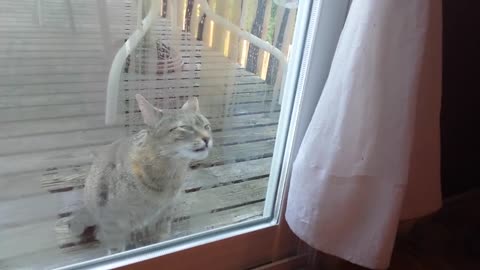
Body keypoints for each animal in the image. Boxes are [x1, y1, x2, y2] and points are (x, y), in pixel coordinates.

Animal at [67, 94, 212, 253]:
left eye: (206, 126)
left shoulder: (166, 212)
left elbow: (162, 236)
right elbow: (115, 247)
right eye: (185, 127)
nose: (207, 138)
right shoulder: (112, 220)